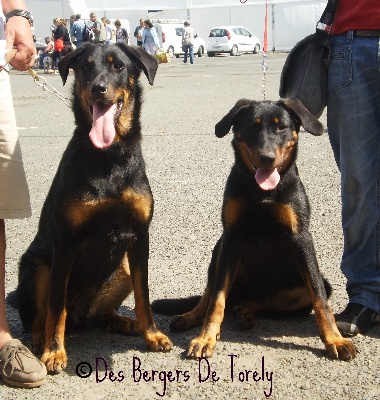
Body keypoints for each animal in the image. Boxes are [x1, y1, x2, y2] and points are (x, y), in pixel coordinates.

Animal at [15, 43, 172, 372]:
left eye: (118, 66)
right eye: (85, 67)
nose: (98, 88)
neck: (109, 155)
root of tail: (82, 313)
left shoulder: (139, 236)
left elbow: (143, 294)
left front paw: (151, 334)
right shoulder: (65, 242)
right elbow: (55, 307)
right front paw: (54, 352)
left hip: (121, 267)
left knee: (100, 316)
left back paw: (124, 322)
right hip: (36, 266)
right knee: (42, 314)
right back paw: (40, 338)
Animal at [151, 98, 356, 360]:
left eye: (281, 127)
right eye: (252, 127)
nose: (266, 158)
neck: (262, 193)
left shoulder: (301, 237)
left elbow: (320, 298)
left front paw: (334, 339)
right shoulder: (231, 238)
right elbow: (216, 299)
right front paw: (206, 338)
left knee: (267, 301)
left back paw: (245, 311)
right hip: (218, 249)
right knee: (211, 293)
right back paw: (193, 315)